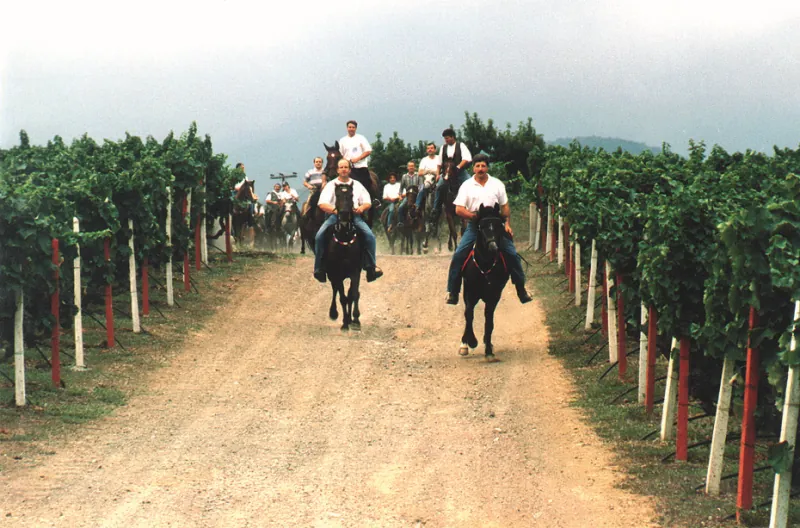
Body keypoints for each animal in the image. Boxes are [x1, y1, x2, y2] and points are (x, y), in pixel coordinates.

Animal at [324, 182, 364, 330]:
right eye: (337, 195)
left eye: (351, 195)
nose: (345, 217)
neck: (345, 238)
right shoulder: (337, 273)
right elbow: (342, 297)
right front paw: (345, 323)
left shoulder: (355, 272)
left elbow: (353, 294)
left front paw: (355, 320)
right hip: (331, 274)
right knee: (335, 290)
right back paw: (334, 313)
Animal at [460, 204, 510, 360]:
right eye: (482, 227)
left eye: (499, 226)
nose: (493, 247)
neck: (485, 264)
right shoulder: (470, 292)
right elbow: (469, 314)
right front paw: (470, 341)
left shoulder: (494, 295)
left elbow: (489, 321)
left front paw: (488, 350)